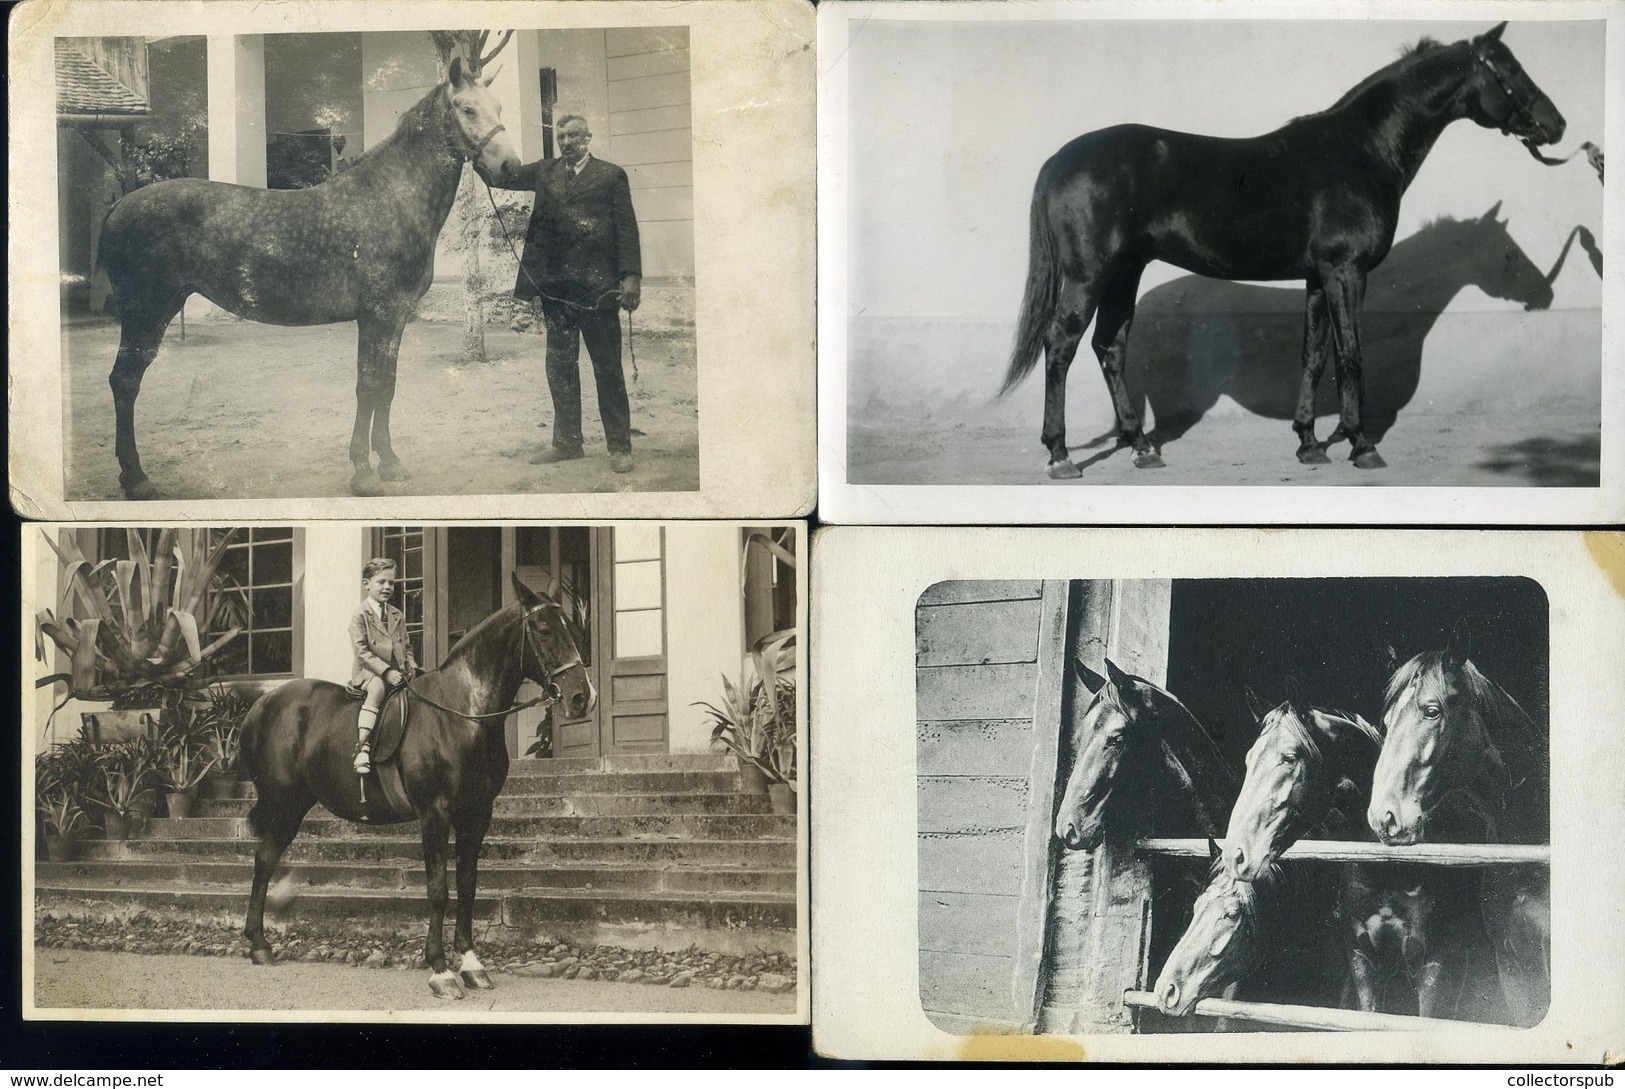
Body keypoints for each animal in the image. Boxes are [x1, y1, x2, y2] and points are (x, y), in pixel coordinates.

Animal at [95, 40, 523, 500]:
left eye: (500, 106)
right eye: (467, 109)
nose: (510, 167)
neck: (390, 198)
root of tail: (120, 207)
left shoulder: (395, 317)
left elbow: (387, 386)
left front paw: (390, 463)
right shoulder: (375, 315)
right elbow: (367, 386)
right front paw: (363, 472)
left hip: (166, 306)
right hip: (144, 311)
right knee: (125, 381)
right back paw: (136, 479)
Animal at [237, 575, 594, 1001]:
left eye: (571, 627)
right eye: (542, 629)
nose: (582, 698)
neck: (462, 714)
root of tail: (262, 705)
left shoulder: (477, 815)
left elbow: (467, 886)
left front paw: (471, 964)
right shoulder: (434, 815)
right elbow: (438, 889)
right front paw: (440, 969)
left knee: (266, 859)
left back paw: (258, 944)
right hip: (284, 806)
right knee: (263, 861)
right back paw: (259, 945)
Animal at [1001, 21, 1560, 477]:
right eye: (1509, 69)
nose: (1557, 125)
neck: (1361, 149)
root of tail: (1058, 160)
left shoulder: (1318, 277)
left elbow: (1313, 356)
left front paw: (1310, 444)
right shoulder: (1346, 272)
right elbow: (1350, 354)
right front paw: (1361, 446)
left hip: (1125, 273)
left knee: (1109, 348)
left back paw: (1142, 448)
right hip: (1089, 275)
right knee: (1062, 345)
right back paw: (1061, 456)